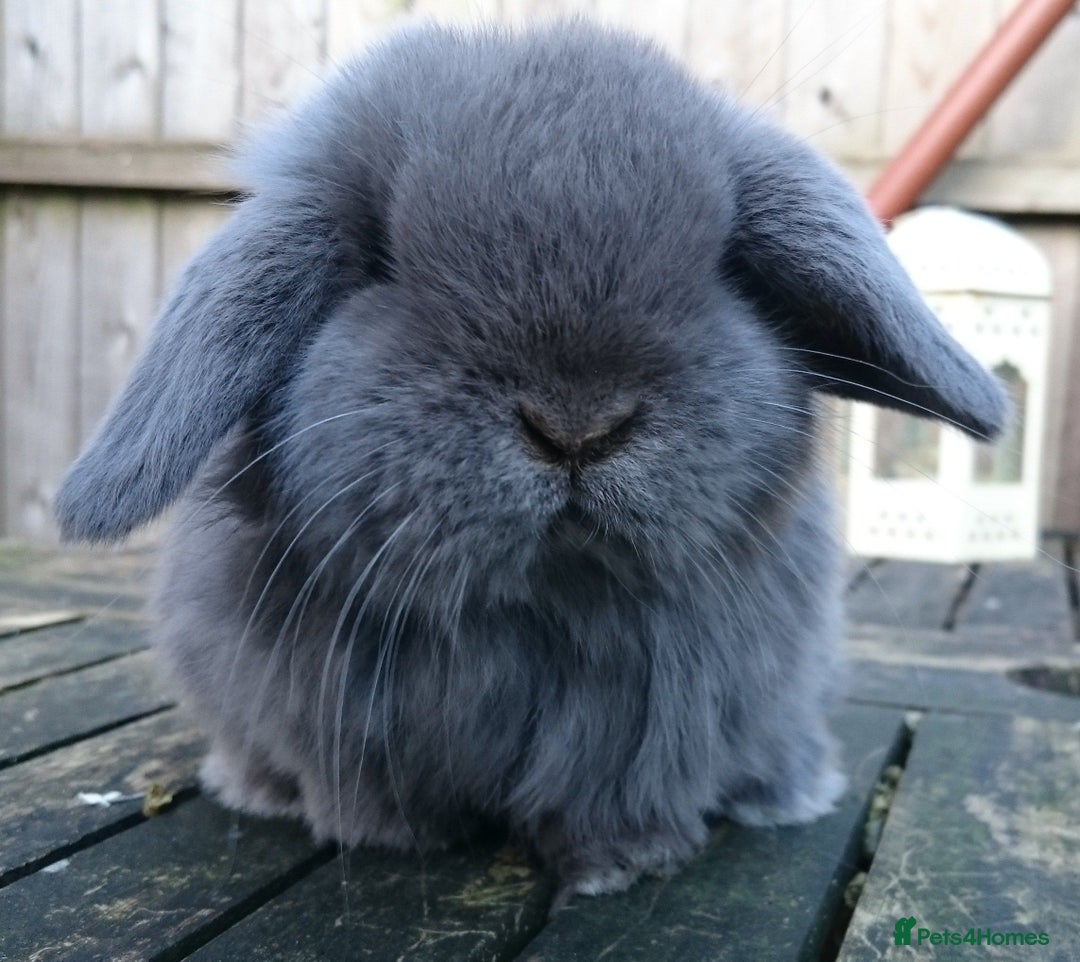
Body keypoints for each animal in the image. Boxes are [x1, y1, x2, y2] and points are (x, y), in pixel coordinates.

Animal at [54, 20, 1006, 899]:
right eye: (379, 258)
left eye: (724, 261)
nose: (576, 426)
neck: (545, 606)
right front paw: (387, 834)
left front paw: (624, 864)